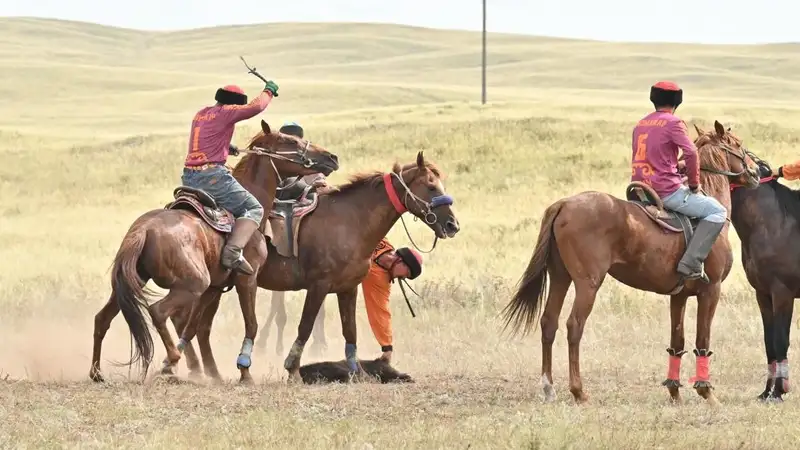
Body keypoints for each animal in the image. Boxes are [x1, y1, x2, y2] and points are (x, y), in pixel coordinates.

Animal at [89, 120, 340, 384]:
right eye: (290, 141)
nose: (331, 158)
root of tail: (143, 230)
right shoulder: (246, 280)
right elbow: (250, 324)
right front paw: (244, 372)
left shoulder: (215, 288)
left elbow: (197, 327)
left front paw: (213, 373)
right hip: (192, 284)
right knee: (158, 311)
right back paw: (173, 360)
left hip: (133, 284)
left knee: (103, 318)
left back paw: (97, 372)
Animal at [177, 152, 460, 384]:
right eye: (431, 186)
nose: (452, 225)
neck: (350, 221)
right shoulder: (318, 287)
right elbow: (306, 325)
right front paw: (292, 369)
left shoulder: (348, 289)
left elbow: (350, 331)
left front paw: (357, 373)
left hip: (218, 286)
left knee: (200, 328)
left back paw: (206, 372)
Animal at [504, 119, 760, 404]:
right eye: (737, 144)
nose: (757, 170)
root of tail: (564, 205)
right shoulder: (711, 291)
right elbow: (702, 340)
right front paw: (707, 393)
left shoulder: (679, 296)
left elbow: (678, 340)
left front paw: (674, 392)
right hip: (587, 284)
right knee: (574, 326)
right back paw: (579, 391)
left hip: (560, 277)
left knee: (549, 322)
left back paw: (549, 388)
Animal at [728, 154, 800, 400]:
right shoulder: (763, 294)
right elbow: (769, 343)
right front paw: (767, 391)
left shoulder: (782, 293)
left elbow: (780, 340)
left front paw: (779, 391)